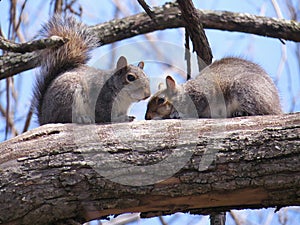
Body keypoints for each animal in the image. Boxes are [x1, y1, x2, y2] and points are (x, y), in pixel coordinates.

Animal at [145, 57, 282, 120]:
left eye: (161, 100)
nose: (147, 117)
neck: (184, 94)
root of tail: (277, 107)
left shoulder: (203, 94)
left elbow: (197, 107)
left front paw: (176, 114)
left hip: (247, 88)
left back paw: (241, 112)